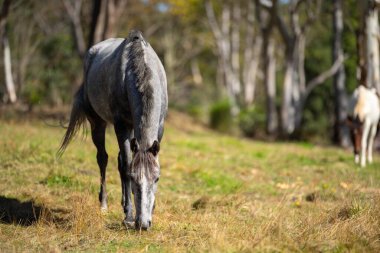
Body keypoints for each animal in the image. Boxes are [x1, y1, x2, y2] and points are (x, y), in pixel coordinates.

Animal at [58, 30, 168, 230]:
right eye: (134, 178)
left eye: (156, 179)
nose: (143, 224)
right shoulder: (121, 125)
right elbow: (126, 166)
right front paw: (129, 216)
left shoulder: (159, 127)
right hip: (98, 123)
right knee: (103, 158)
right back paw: (104, 205)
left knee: (118, 159)